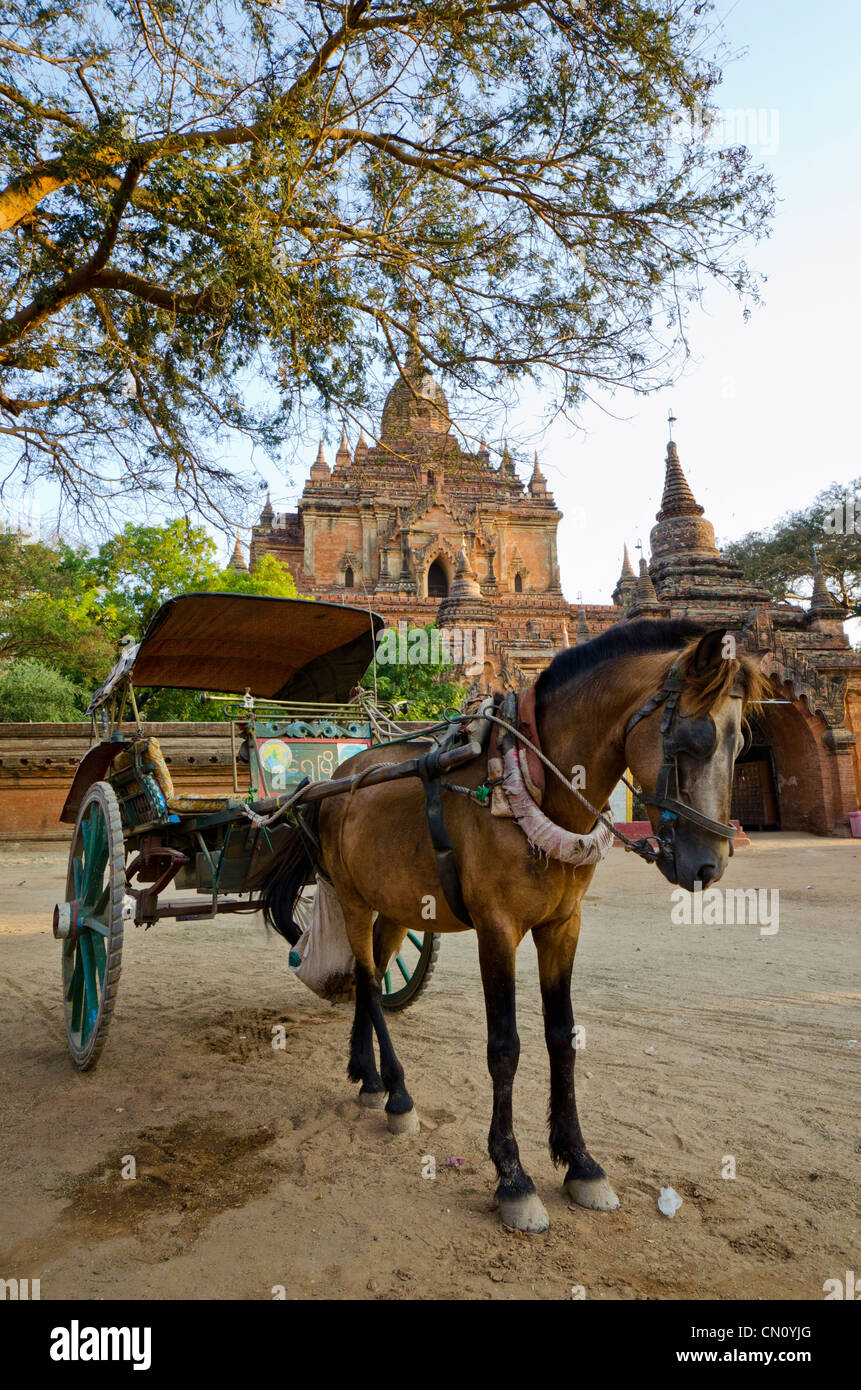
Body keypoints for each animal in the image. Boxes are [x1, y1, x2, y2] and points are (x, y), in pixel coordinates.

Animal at [258, 625, 762, 1234]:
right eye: (692, 739)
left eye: (742, 744)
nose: (709, 865)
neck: (532, 779)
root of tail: (333, 780)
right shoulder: (495, 928)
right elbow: (505, 1046)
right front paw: (513, 1177)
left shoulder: (563, 925)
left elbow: (562, 1036)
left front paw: (580, 1162)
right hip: (353, 898)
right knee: (370, 983)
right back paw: (397, 1093)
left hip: (397, 904)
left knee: (368, 975)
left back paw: (368, 1076)